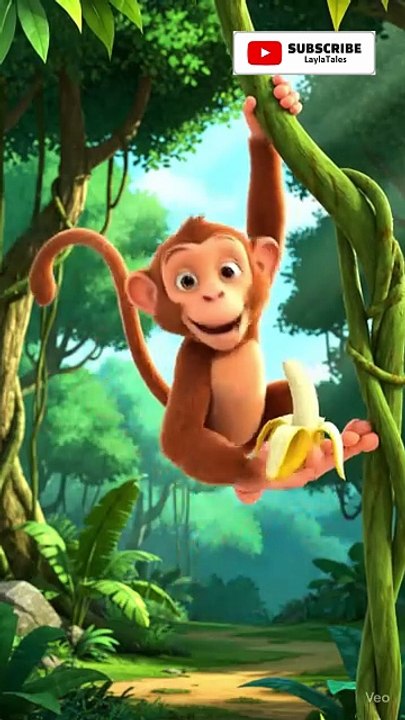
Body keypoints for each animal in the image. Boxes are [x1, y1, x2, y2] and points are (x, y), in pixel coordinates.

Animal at [29, 76, 379, 504]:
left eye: (228, 271)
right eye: (187, 281)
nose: (211, 295)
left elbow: (266, 231)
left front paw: (272, 110)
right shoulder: (192, 361)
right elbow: (180, 438)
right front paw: (260, 468)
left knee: (281, 392)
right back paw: (255, 482)